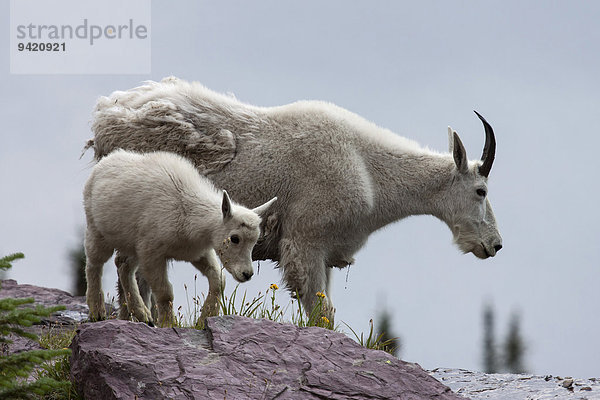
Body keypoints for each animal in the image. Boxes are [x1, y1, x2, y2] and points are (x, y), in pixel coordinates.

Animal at [88, 76, 502, 322]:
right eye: (480, 191)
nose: (495, 245)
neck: (369, 170)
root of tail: (106, 114)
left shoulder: (326, 251)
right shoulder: (306, 241)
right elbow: (321, 313)